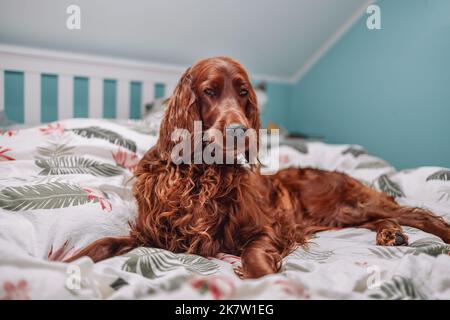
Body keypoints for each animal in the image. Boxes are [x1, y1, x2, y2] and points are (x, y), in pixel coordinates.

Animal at [67, 56, 450, 278]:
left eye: (243, 93)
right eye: (209, 91)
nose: (240, 131)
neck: (201, 174)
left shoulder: (267, 229)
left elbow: (255, 258)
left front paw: (264, 279)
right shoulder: (152, 235)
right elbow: (100, 245)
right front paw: (64, 266)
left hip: (349, 205)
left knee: (417, 215)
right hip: (343, 215)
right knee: (384, 219)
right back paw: (390, 233)